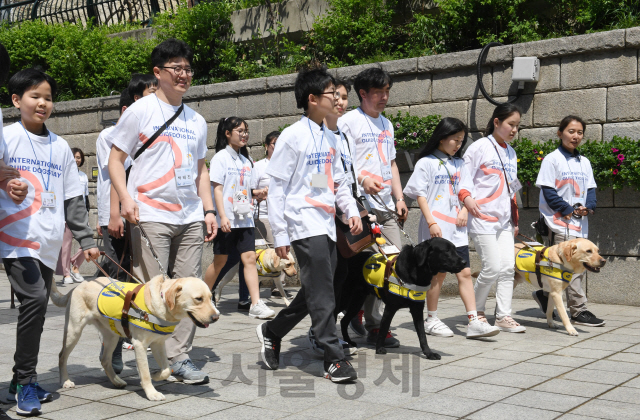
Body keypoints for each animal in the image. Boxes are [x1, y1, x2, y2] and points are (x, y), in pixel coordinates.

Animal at [50, 276, 220, 400]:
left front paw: (157, 375)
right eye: (198, 298)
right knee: (61, 356)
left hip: (112, 336)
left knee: (105, 360)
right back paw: (65, 381)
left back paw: (116, 381)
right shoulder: (139, 345)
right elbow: (144, 373)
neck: (161, 302)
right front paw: (152, 393)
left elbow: (166, 369)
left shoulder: (158, 344)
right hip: (73, 331)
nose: (216, 317)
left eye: (211, 297)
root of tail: (79, 286)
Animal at [338, 238, 468, 360]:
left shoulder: (417, 310)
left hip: (357, 301)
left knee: (344, 321)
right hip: (344, 299)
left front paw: (428, 353)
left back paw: (349, 343)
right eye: (447, 251)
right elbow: (383, 329)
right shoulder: (390, 308)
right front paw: (379, 349)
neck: (417, 272)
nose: (464, 262)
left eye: (455, 249)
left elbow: (422, 335)